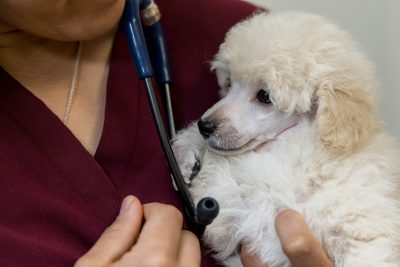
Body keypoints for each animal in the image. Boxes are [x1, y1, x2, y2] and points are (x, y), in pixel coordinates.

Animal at [173, 11, 400, 267]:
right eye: (229, 83)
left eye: (264, 96)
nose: (205, 126)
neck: (292, 146)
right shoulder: (234, 201)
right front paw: (185, 155)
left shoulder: (363, 228)